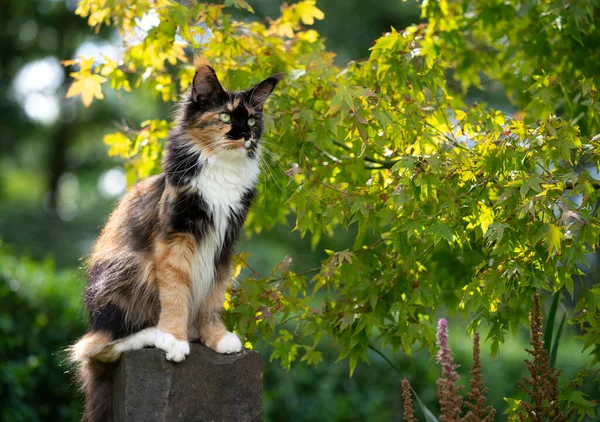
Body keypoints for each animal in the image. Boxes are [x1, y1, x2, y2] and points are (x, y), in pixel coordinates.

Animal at [68, 56, 282, 422]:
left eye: (253, 119)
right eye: (225, 116)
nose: (245, 135)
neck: (220, 172)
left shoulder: (224, 246)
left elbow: (212, 297)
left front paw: (216, 338)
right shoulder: (175, 239)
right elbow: (176, 293)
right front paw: (174, 338)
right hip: (128, 270)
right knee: (97, 346)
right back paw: (156, 335)